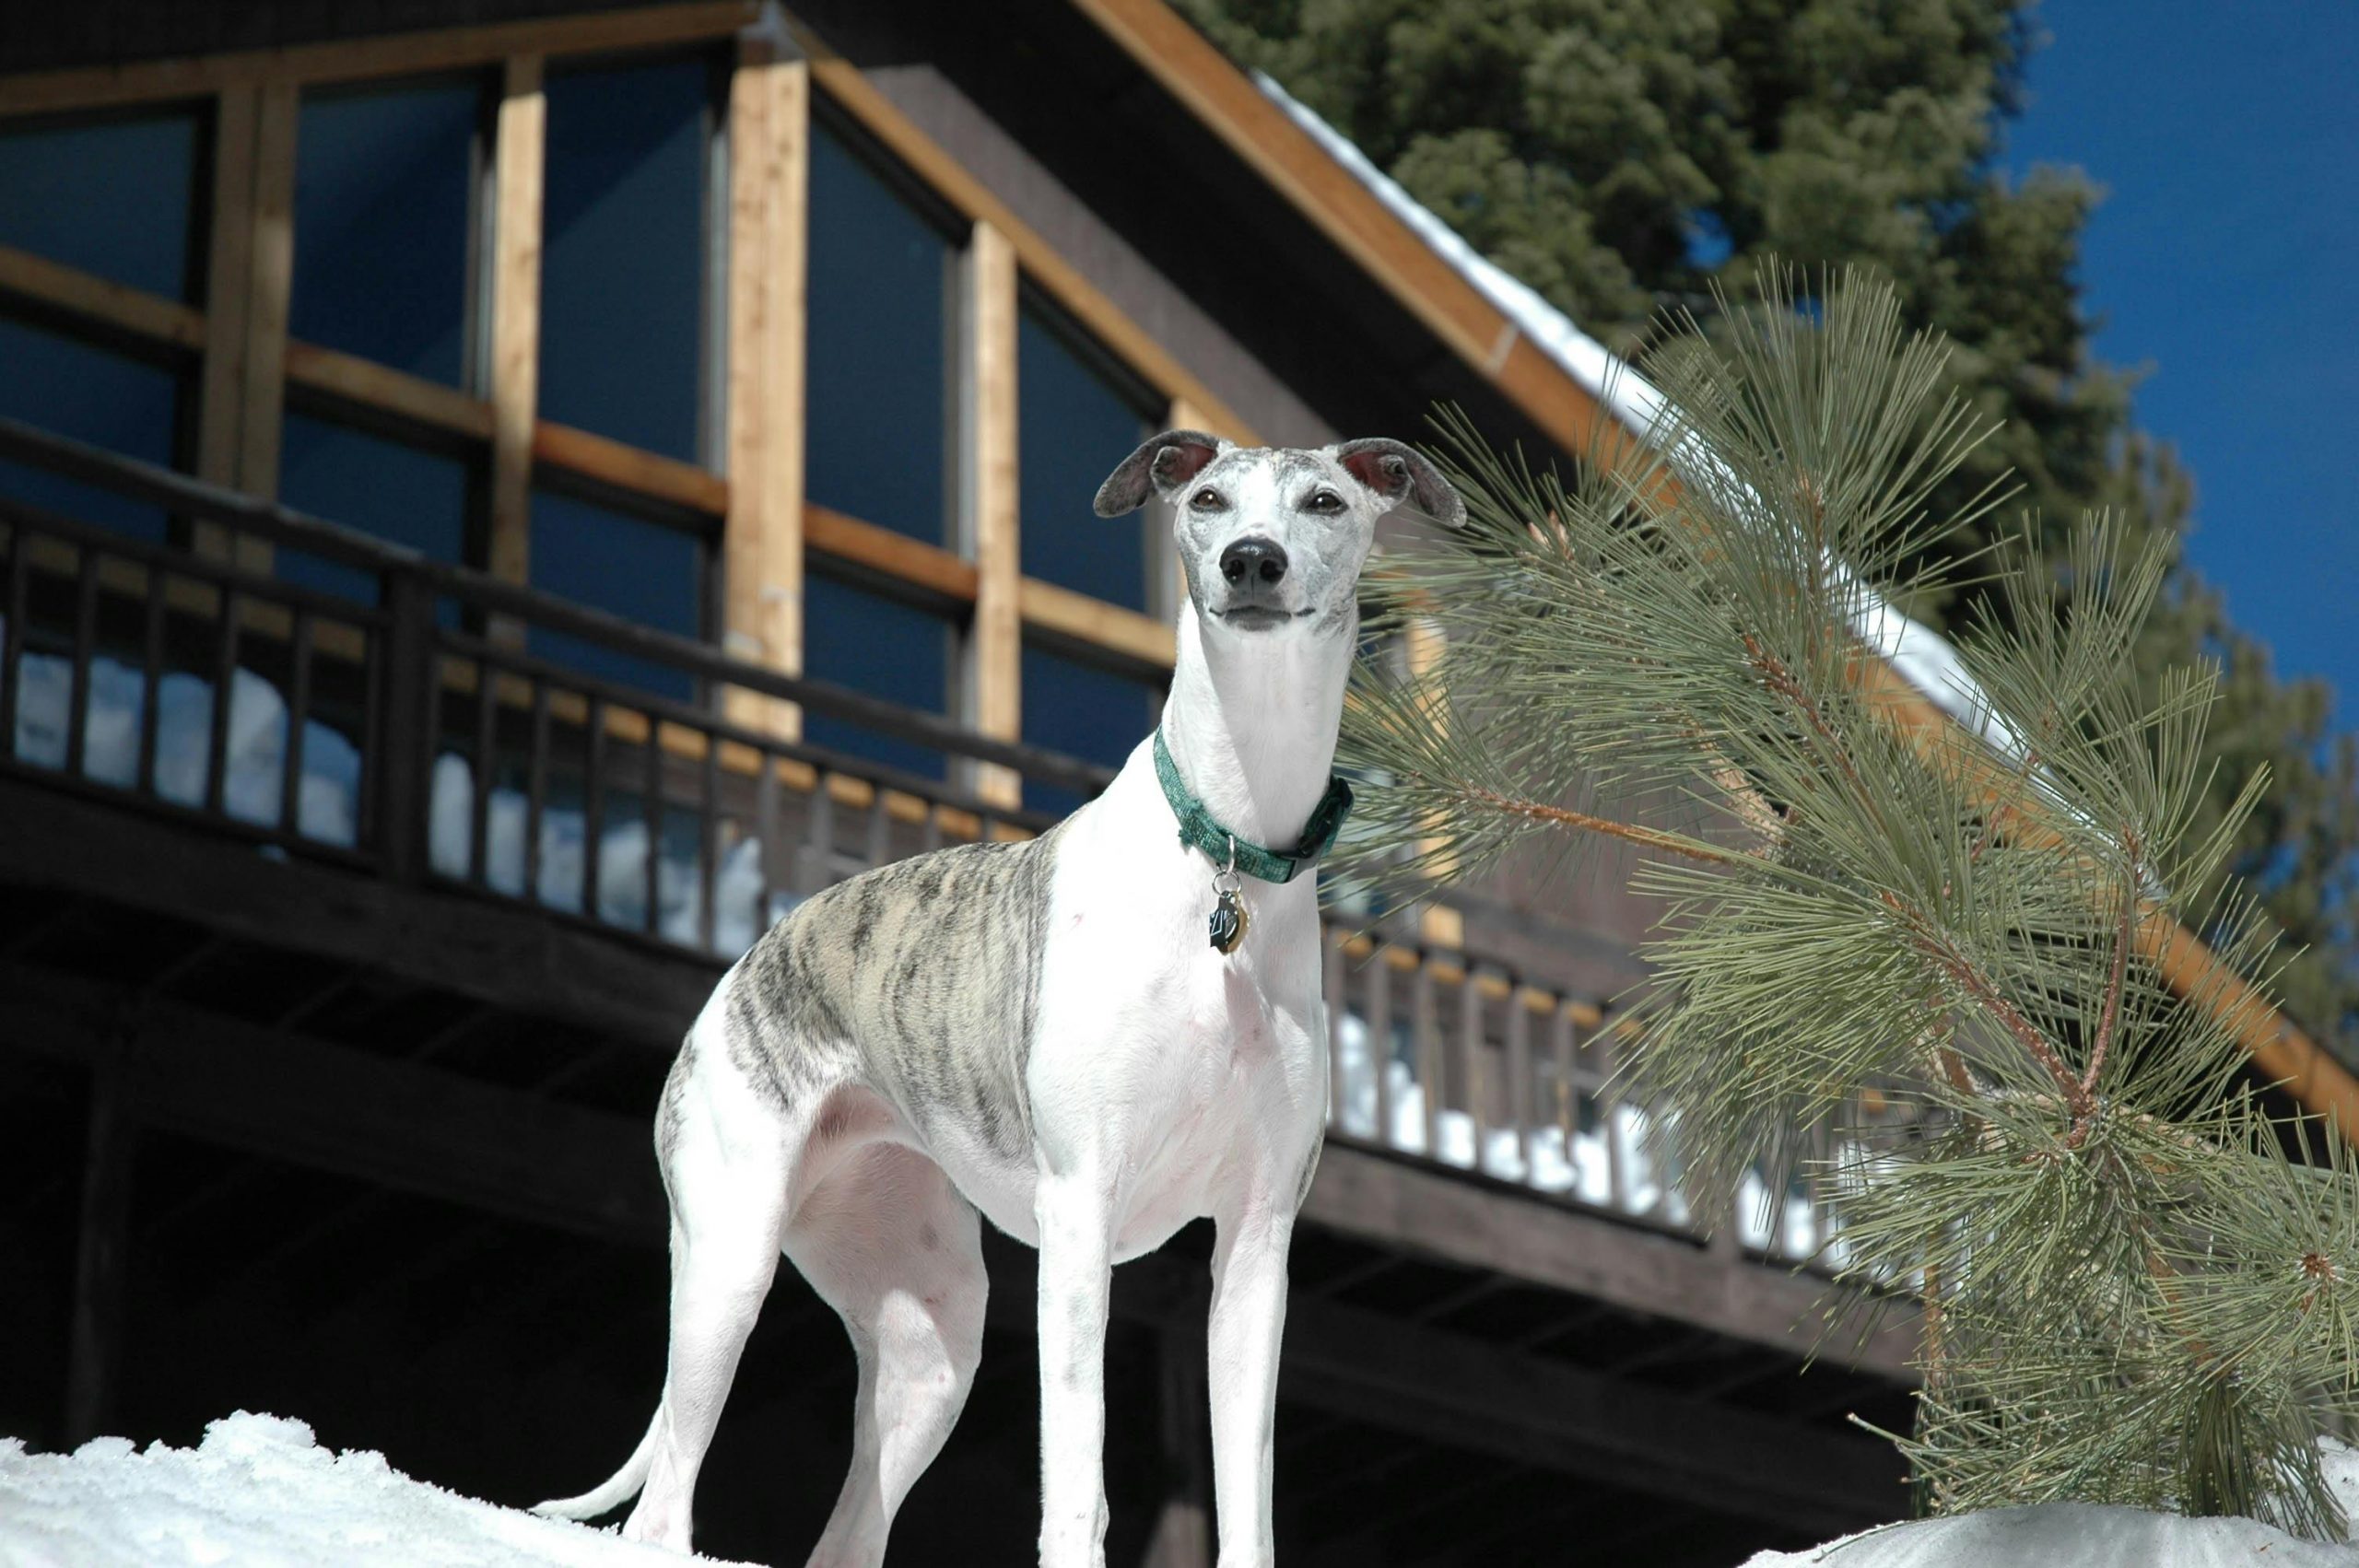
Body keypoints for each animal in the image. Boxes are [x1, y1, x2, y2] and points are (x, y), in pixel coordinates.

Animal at [535, 428, 1452, 1565]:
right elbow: (1078, 1488)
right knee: (661, 1504)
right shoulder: (1080, 1213)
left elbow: (1248, 1506)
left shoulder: (1255, 1244)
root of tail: (752, 957)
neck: (1229, 850)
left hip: (934, 1342)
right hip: (729, 1261)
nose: (1251, 562)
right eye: (1207, 499)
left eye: (1325, 502)